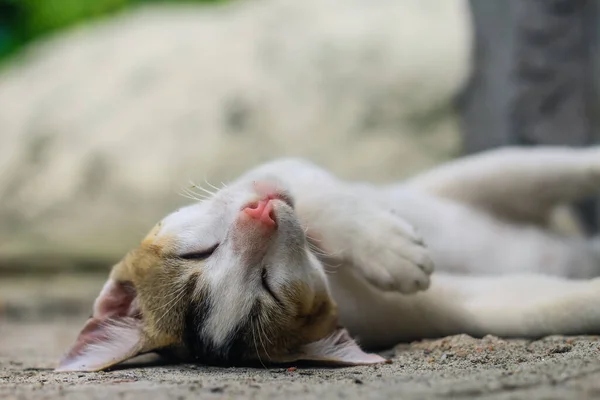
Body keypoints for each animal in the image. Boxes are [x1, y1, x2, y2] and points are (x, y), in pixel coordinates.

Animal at [54, 146, 600, 372]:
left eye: (198, 251)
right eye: (267, 286)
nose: (260, 214)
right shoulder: (446, 306)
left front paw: (386, 245)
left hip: (480, 177)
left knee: (563, 165)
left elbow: (318, 192)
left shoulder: (285, 170)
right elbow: (539, 305)